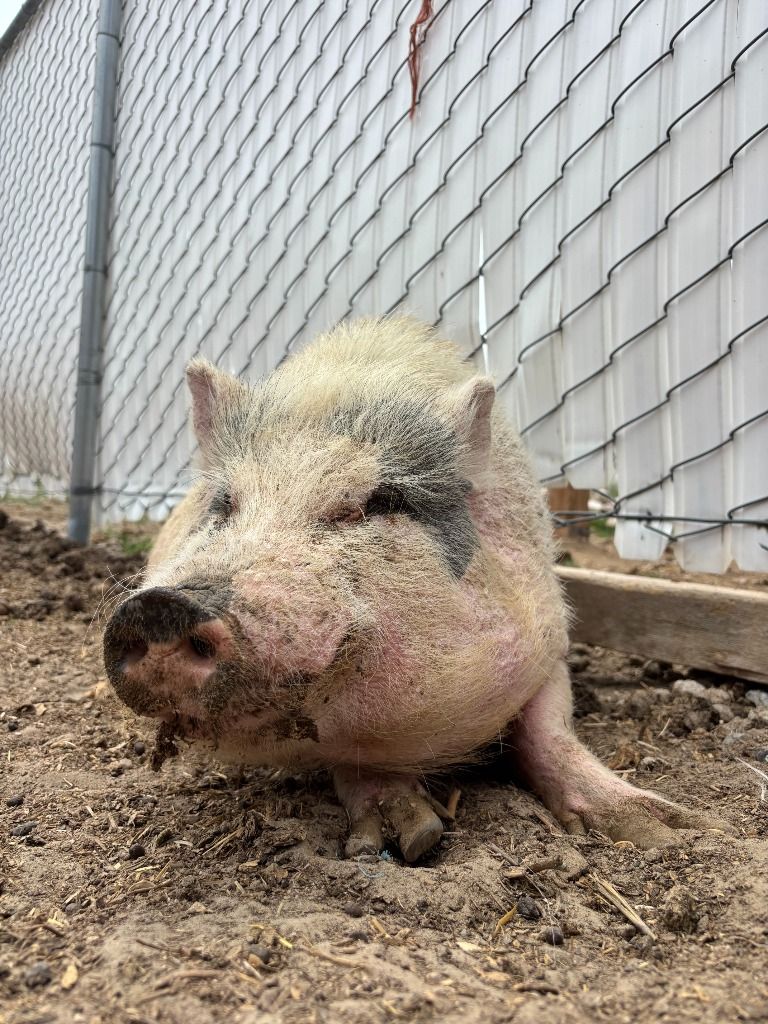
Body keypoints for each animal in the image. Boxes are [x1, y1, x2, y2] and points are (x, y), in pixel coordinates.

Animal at [103, 317, 716, 861]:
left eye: (378, 502)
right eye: (225, 504)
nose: (161, 606)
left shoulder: (547, 639)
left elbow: (551, 730)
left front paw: (674, 832)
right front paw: (408, 839)